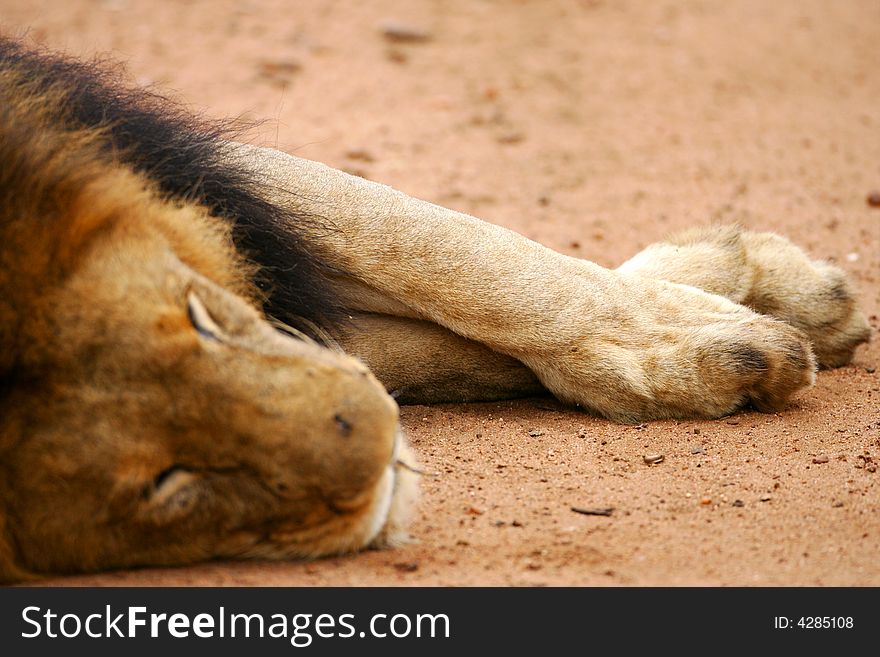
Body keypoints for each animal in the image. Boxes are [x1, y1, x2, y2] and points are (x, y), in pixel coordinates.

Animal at [0, 37, 868, 580]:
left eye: (198, 319)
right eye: (166, 485)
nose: (381, 440)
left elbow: (444, 247)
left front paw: (744, 291)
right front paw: (706, 342)